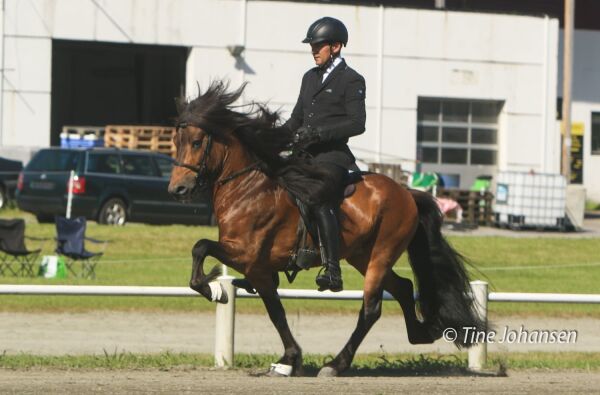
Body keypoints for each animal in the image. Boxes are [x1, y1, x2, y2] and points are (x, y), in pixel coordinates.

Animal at [168, 83, 482, 378]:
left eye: (196, 142)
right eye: (175, 141)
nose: (177, 189)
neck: (248, 189)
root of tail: (406, 192)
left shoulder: (247, 256)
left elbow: (201, 247)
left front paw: (214, 290)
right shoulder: (258, 270)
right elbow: (275, 311)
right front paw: (289, 360)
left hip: (381, 253)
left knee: (371, 308)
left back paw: (336, 364)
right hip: (362, 255)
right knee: (403, 288)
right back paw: (421, 333)